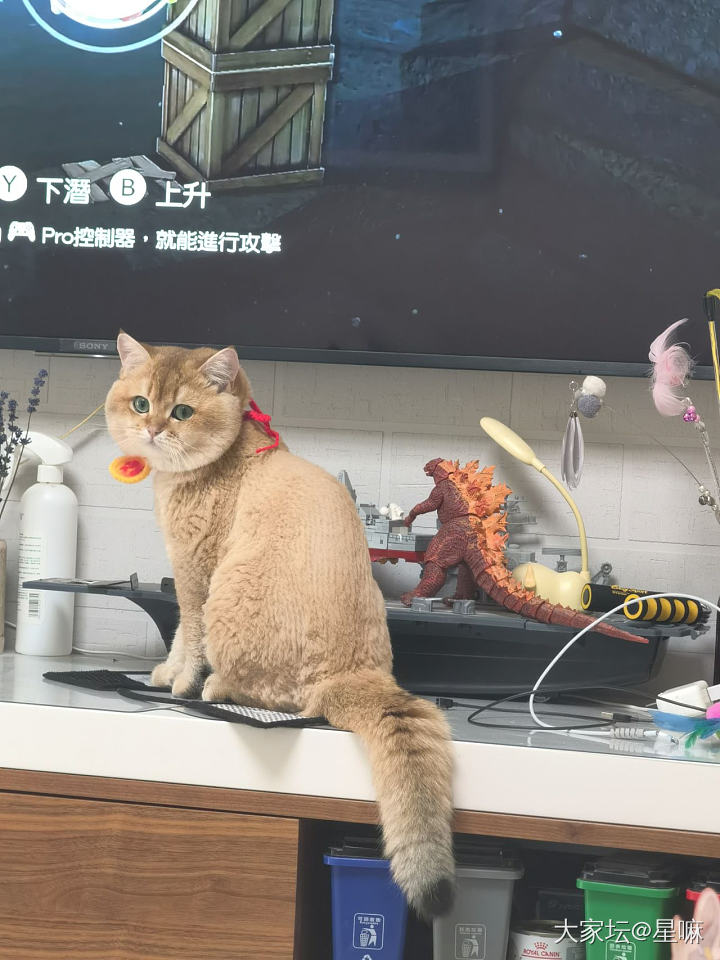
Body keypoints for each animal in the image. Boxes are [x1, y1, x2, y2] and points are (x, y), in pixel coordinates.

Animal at [105, 333, 455, 918]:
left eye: (182, 411)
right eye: (140, 403)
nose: (152, 429)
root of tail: (355, 675)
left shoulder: (197, 576)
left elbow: (189, 637)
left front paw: (181, 682)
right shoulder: (186, 578)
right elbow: (178, 636)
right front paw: (165, 674)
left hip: (232, 593)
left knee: (269, 694)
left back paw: (217, 688)